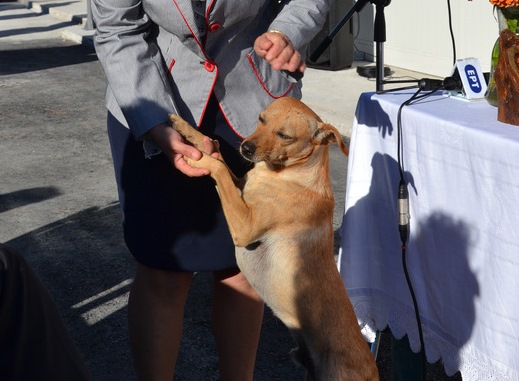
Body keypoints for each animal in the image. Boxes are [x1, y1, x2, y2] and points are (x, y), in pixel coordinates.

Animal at [173, 97, 380, 380]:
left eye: (285, 136)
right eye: (261, 119)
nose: (246, 147)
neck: (289, 173)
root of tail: (373, 370)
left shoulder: (244, 227)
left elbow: (219, 168)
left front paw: (197, 160)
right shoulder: (240, 187)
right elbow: (220, 159)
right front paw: (187, 130)